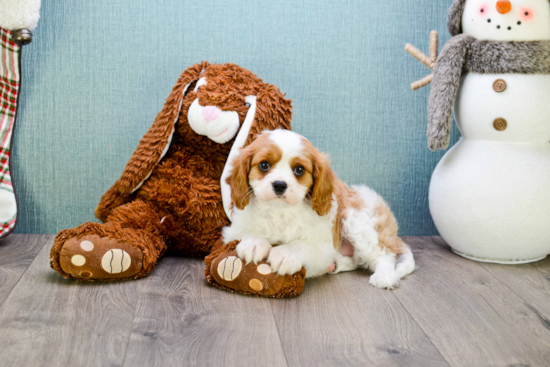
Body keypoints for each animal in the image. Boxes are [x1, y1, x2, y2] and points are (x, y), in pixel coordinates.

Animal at [222, 131, 416, 288]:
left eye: (299, 169)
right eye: (264, 165)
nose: (279, 185)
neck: (280, 211)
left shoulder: (323, 247)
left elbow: (301, 245)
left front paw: (285, 253)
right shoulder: (232, 231)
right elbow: (246, 232)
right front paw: (254, 243)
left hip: (358, 219)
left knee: (385, 255)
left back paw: (384, 275)